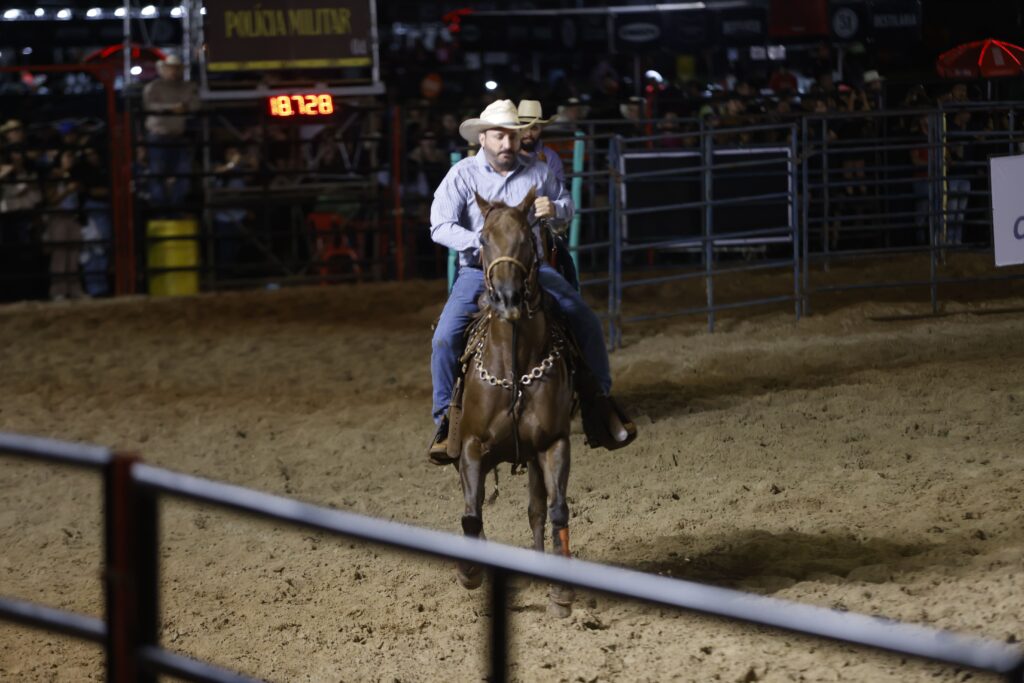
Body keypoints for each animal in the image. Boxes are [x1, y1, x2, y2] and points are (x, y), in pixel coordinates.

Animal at [454, 187, 577, 618]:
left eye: (526, 238)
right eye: (483, 238)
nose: (507, 298)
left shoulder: (553, 444)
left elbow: (556, 510)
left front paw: (561, 593)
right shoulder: (472, 447)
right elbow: (471, 513)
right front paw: (470, 573)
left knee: (537, 509)